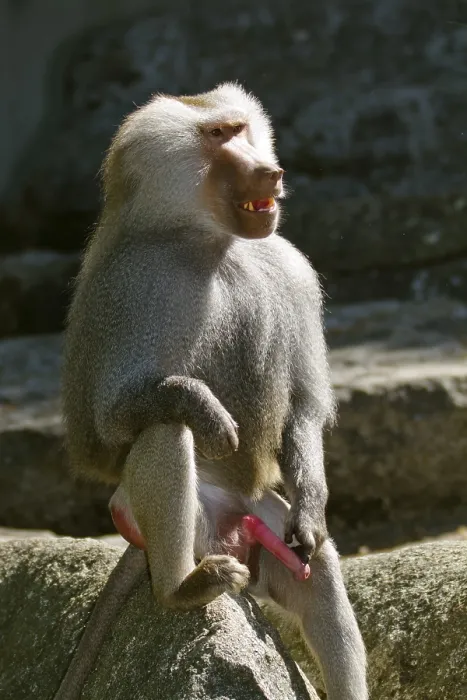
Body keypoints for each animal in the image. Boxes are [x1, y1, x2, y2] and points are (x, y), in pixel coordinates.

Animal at [58, 83, 368, 699]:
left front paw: (313, 506)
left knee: (318, 572)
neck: (213, 243)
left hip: (263, 530)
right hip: (157, 519)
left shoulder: (293, 270)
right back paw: (181, 588)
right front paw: (207, 408)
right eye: (217, 136)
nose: (271, 172)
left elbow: (305, 408)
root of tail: (228, 527)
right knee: (166, 429)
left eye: (241, 129)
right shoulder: (135, 285)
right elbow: (108, 423)